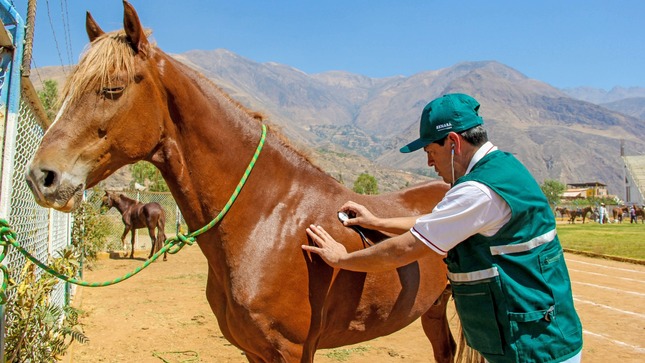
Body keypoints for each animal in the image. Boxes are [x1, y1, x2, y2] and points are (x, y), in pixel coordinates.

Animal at [25, 2, 456, 362]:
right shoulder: (255, 350)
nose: (41, 177)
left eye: (112, 88)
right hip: (436, 307)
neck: (268, 221)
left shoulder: (292, 350)